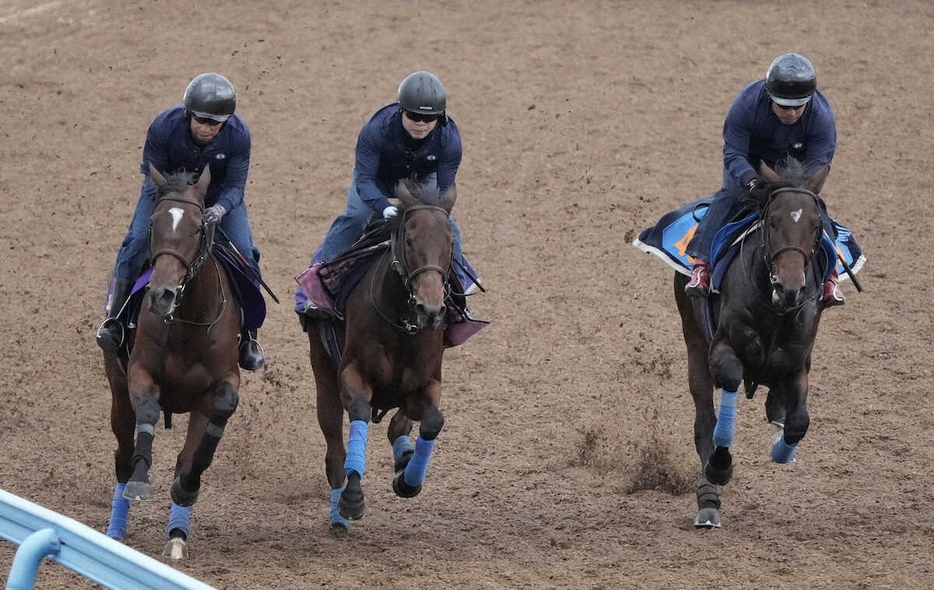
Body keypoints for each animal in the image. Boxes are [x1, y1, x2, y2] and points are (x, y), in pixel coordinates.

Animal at [103, 166, 243, 560]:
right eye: (153, 223)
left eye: (197, 228)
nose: (161, 295)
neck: (187, 320)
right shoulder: (139, 372)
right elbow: (148, 412)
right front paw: (140, 482)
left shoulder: (222, 384)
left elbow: (206, 437)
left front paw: (186, 487)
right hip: (117, 391)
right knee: (122, 453)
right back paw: (116, 527)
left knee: (185, 454)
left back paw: (177, 534)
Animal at [308, 180, 458, 532]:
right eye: (409, 239)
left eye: (450, 241)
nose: (431, 309)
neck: (404, 325)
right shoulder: (352, 373)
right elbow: (360, 413)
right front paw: (351, 499)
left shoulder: (427, 381)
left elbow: (432, 420)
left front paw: (408, 480)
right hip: (322, 373)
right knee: (335, 449)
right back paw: (338, 515)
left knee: (399, 426)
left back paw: (404, 456)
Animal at [672, 160, 832, 528]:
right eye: (772, 222)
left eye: (816, 226)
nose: (790, 288)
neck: (776, 308)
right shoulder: (721, 347)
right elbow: (729, 380)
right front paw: (720, 466)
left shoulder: (798, 362)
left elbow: (799, 421)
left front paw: (783, 448)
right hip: (693, 338)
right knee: (704, 422)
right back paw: (708, 502)